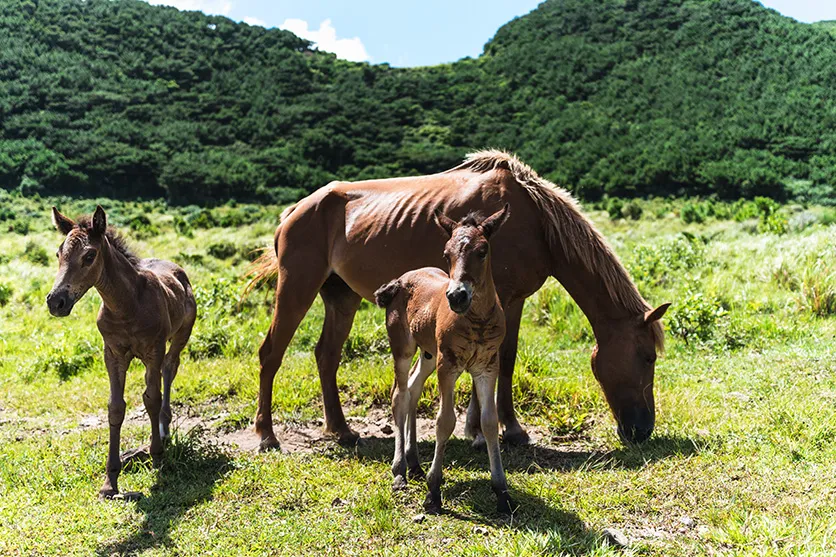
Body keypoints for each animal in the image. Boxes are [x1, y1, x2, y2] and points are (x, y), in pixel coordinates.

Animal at [47, 205, 196, 500]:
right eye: (59, 254)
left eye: (89, 255)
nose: (55, 301)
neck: (127, 305)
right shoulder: (113, 354)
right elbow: (115, 408)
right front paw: (110, 481)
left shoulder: (153, 351)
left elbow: (151, 398)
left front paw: (157, 455)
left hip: (180, 337)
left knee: (170, 368)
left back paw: (164, 428)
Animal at [250, 151, 672, 452]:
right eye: (647, 358)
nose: (642, 430)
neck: (535, 221)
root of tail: (295, 209)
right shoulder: (502, 299)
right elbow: (502, 359)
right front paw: (499, 430)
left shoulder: (509, 302)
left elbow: (502, 359)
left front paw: (486, 428)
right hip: (296, 288)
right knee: (271, 353)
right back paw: (266, 435)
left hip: (341, 297)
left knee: (327, 355)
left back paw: (341, 430)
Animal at [376, 206, 512, 516]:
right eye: (446, 253)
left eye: (483, 251)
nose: (456, 296)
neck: (477, 320)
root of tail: (400, 280)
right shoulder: (447, 366)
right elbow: (444, 421)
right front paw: (433, 492)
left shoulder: (487, 366)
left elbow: (489, 422)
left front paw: (501, 491)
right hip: (404, 348)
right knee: (399, 395)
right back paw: (400, 471)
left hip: (428, 354)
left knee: (413, 390)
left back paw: (414, 463)